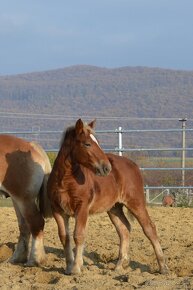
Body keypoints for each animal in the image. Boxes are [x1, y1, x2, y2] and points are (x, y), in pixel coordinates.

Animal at [0, 135, 51, 266]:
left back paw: (35, 260)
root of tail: (31, 146)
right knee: (24, 226)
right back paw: (16, 259)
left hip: (23, 199)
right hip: (16, 199)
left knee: (36, 223)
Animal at [47, 119, 168, 276]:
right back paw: (120, 265)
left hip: (136, 203)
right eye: (87, 144)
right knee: (124, 229)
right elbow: (64, 237)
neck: (65, 181)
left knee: (149, 228)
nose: (106, 168)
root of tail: (133, 165)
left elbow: (78, 235)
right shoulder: (58, 211)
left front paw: (76, 268)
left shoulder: (82, 208)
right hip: (114, 208)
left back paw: (163, 267)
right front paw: (68, 267)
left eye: (97, 142)